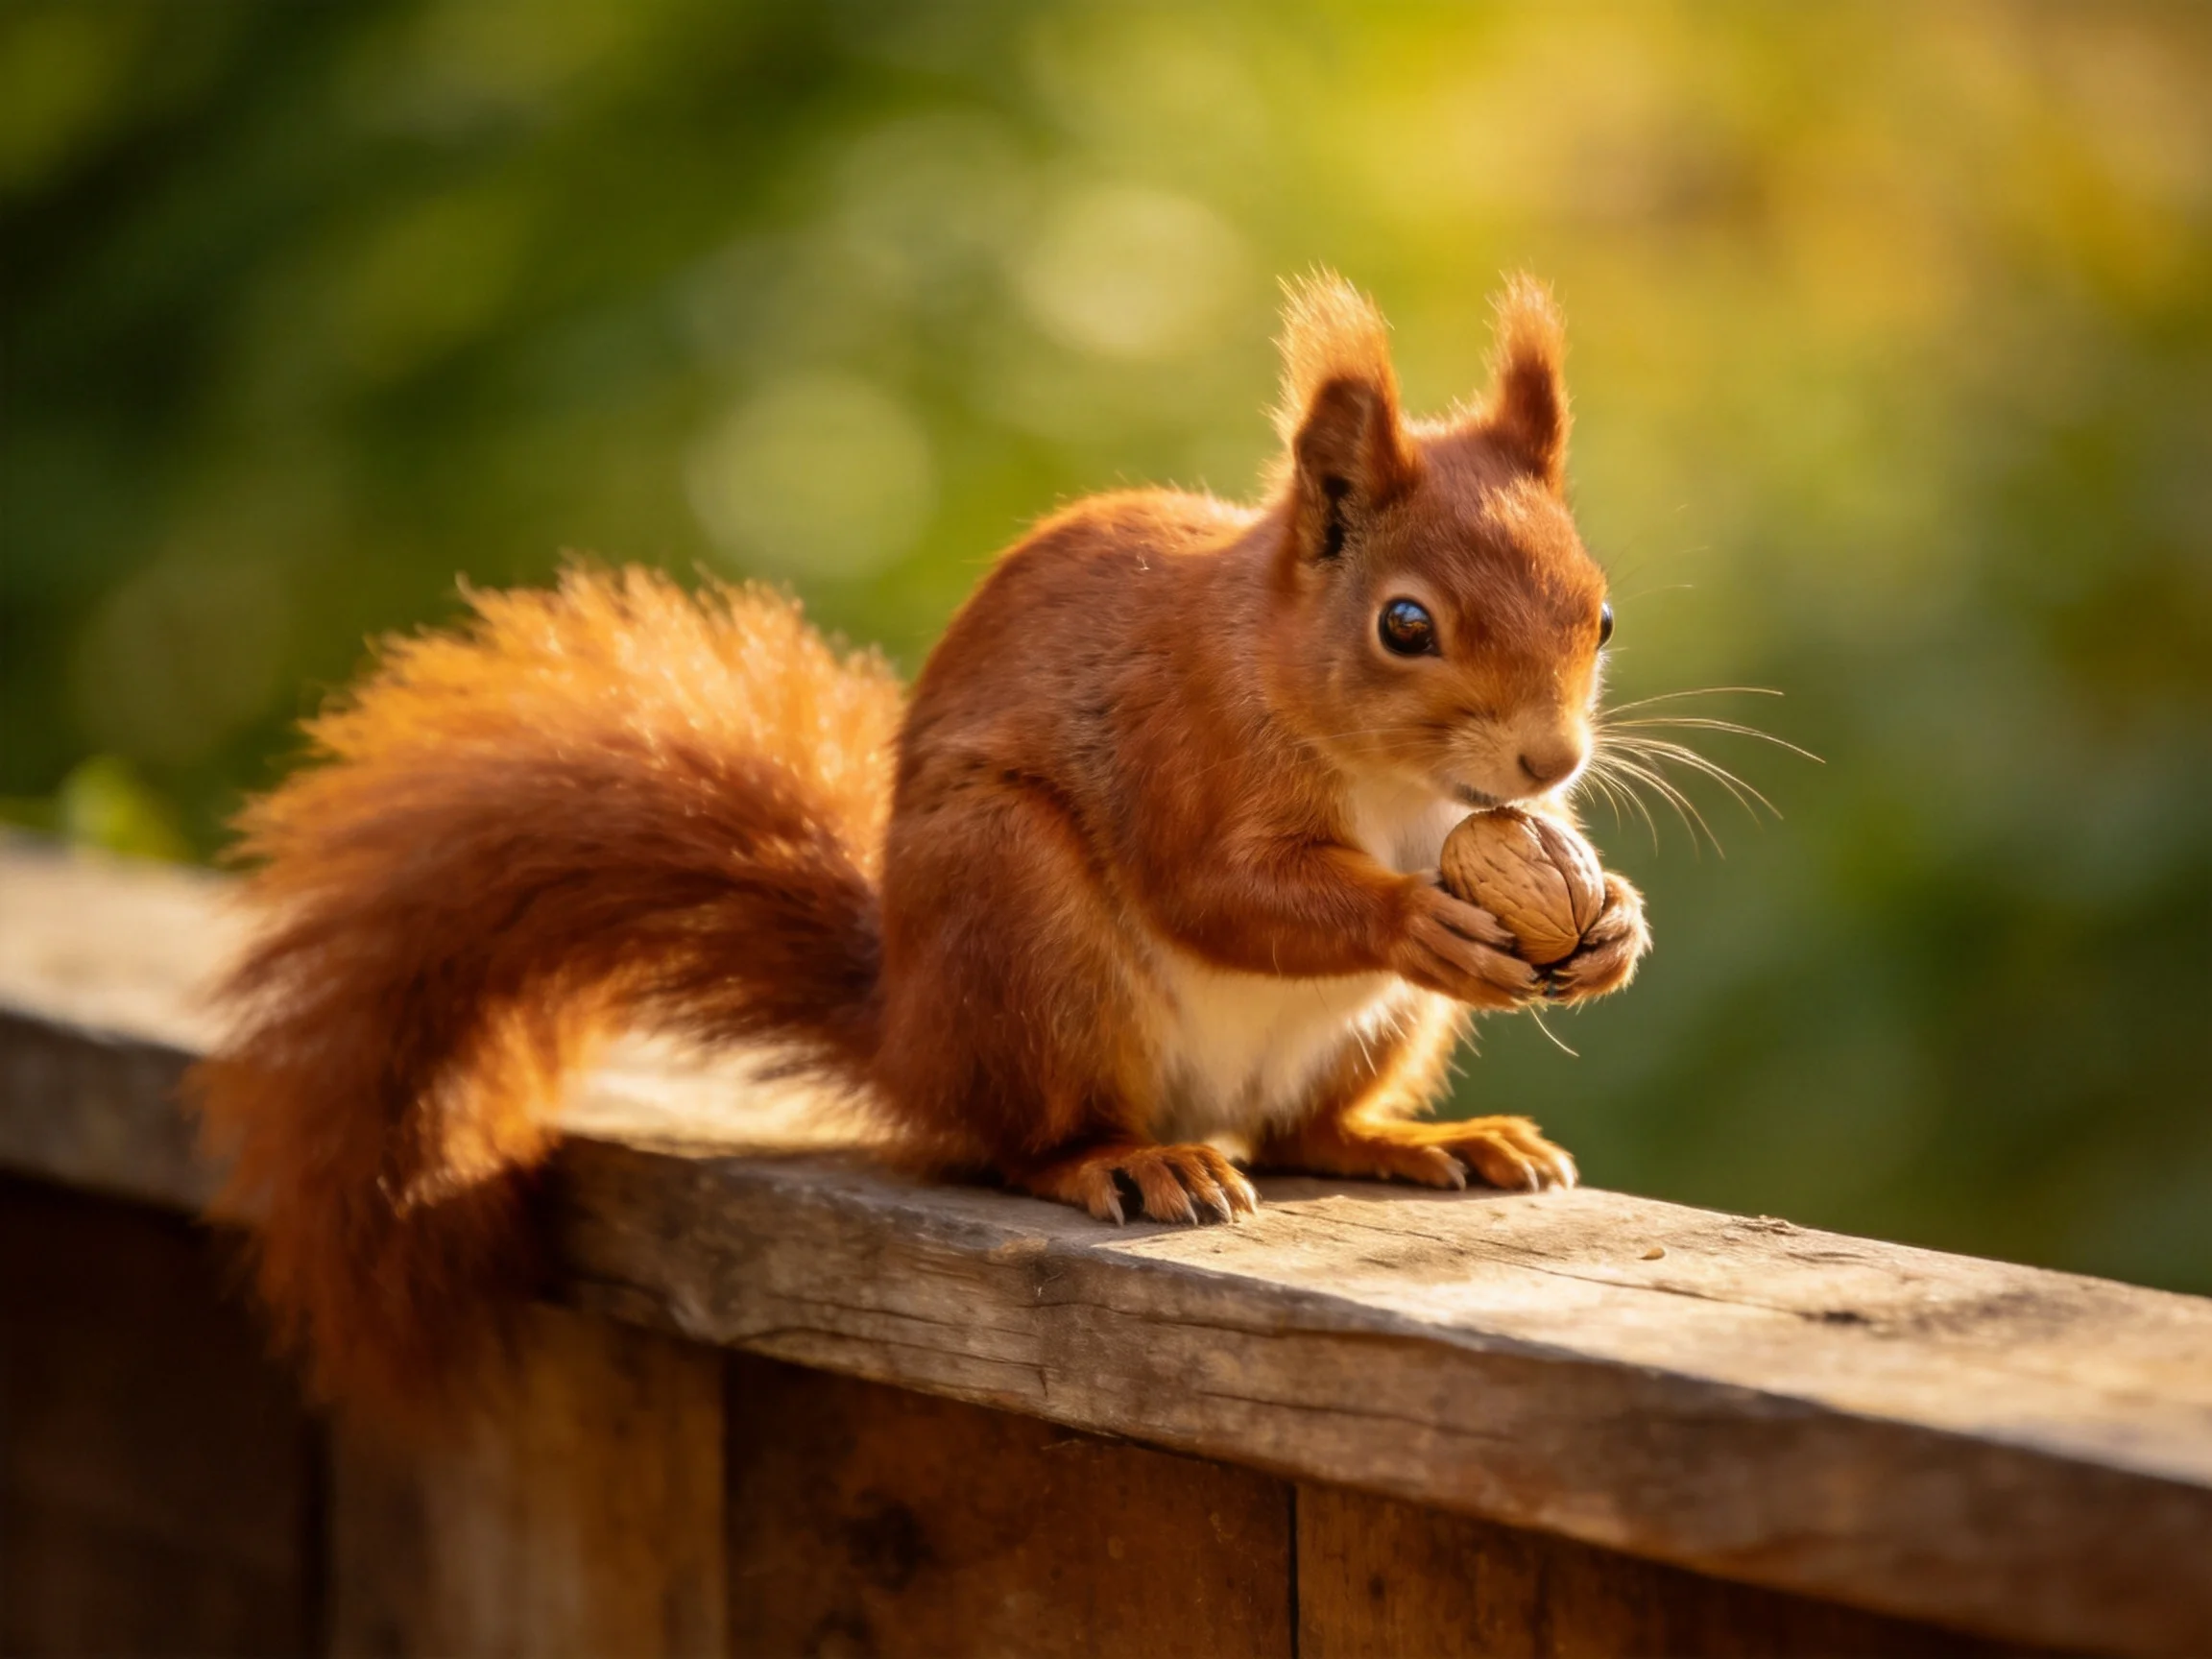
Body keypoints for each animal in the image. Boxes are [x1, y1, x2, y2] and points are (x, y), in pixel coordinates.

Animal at [191, 273, 1650, 1417]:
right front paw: (1419, 917)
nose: (1552, 762)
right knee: (1025, 1143)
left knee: (1303, 1127)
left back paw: (1423, 1140)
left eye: (1602, 614)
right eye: (1405, 626)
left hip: (1357, 1036)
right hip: (1018, 919)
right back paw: (1124, 1160)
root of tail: (908, 1037)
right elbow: (1217, 889)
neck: (1390, 779)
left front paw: (1618, 920)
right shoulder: (1183, 744)